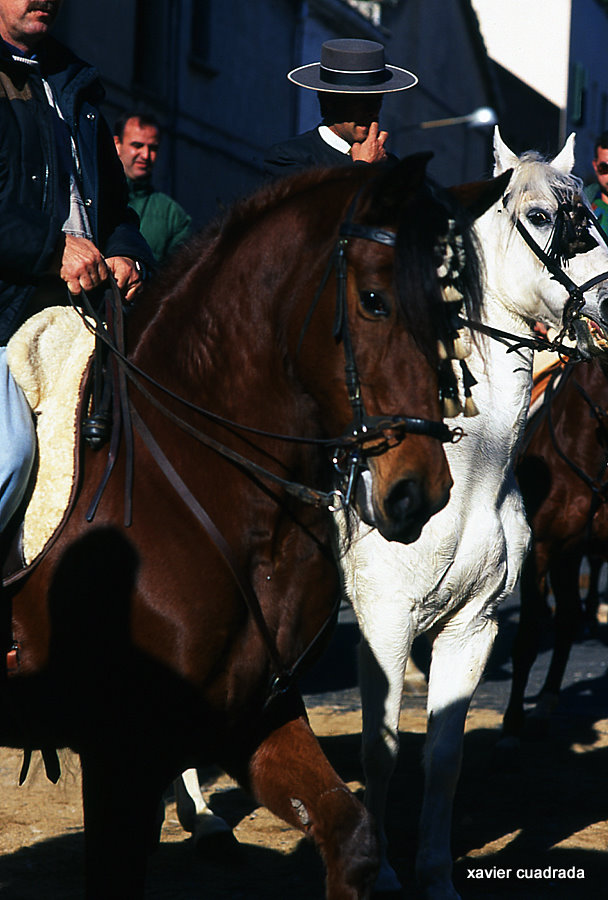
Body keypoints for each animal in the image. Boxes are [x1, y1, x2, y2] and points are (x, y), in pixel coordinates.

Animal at [1, 158, 504, 896]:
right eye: (375, 300)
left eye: (448, 312)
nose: (422, 492)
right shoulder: (122, 751)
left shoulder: (254, 714)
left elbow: (351, 835)